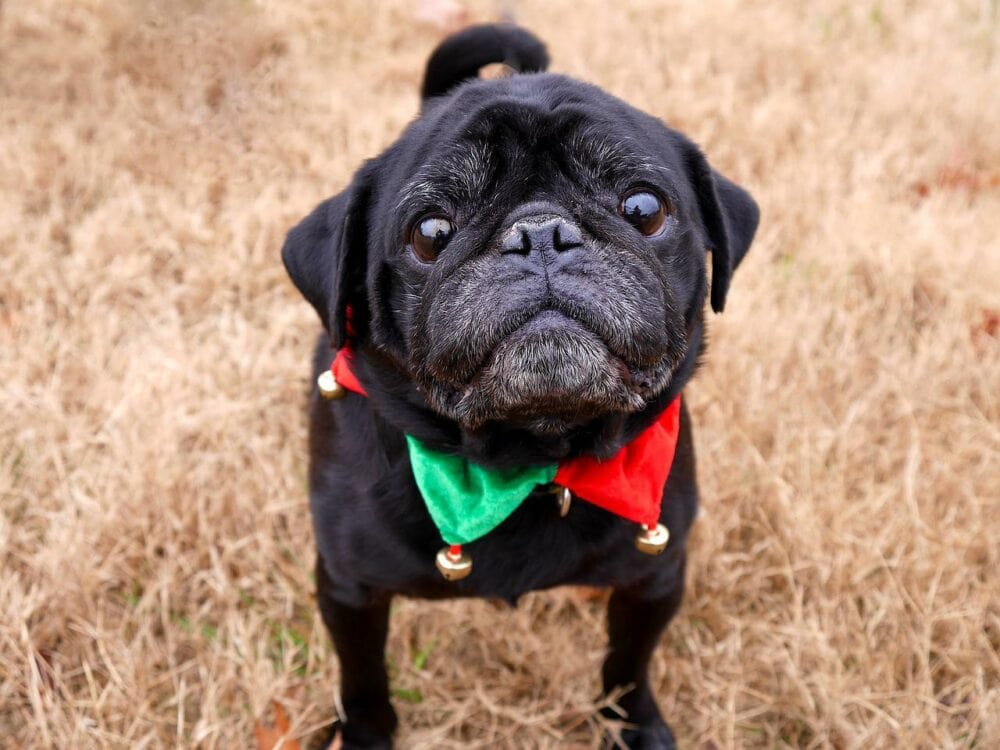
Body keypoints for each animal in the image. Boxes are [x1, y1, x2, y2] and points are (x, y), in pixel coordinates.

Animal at [282, 23, 756, 750]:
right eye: (430, 232)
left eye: (644, 208)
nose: (540, 232)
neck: (524, 465)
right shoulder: (348, 589)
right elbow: (362, 682)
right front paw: (363, 737)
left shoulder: (655, 578)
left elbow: (627, 666)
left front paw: (635, 727)